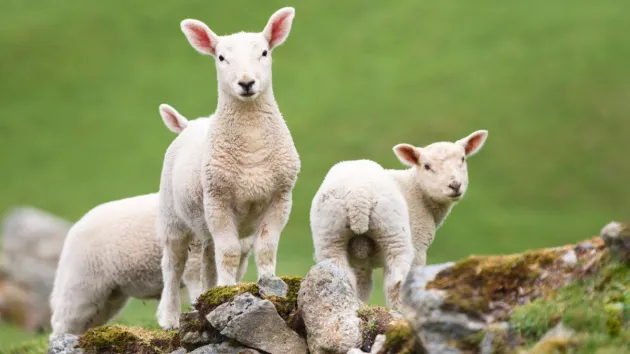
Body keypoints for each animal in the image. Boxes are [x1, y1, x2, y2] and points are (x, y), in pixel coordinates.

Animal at [155, 7, 298, 330]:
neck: (252, 145)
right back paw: (169, 317)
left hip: (205, 223)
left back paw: (207, 294)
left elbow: (266, 248)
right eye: (221, 57)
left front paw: (268, 285)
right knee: (172, 266)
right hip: (173, 218)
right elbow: (229, 253)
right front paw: (230, 292)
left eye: (264, 52)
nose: (246, 83)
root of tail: (191, 124)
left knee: (209, 260)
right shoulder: (218, 199)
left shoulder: (281, 197)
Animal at [314, 129, 492, 306]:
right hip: (393, 233)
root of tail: (358, 196)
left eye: (462, 159)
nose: (455, 186)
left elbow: (362, 287)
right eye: (427, 166)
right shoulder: (419, 245)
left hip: (330, 237)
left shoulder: (361, 264)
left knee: (340, 276)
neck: (418, 190)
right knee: (396, 282)